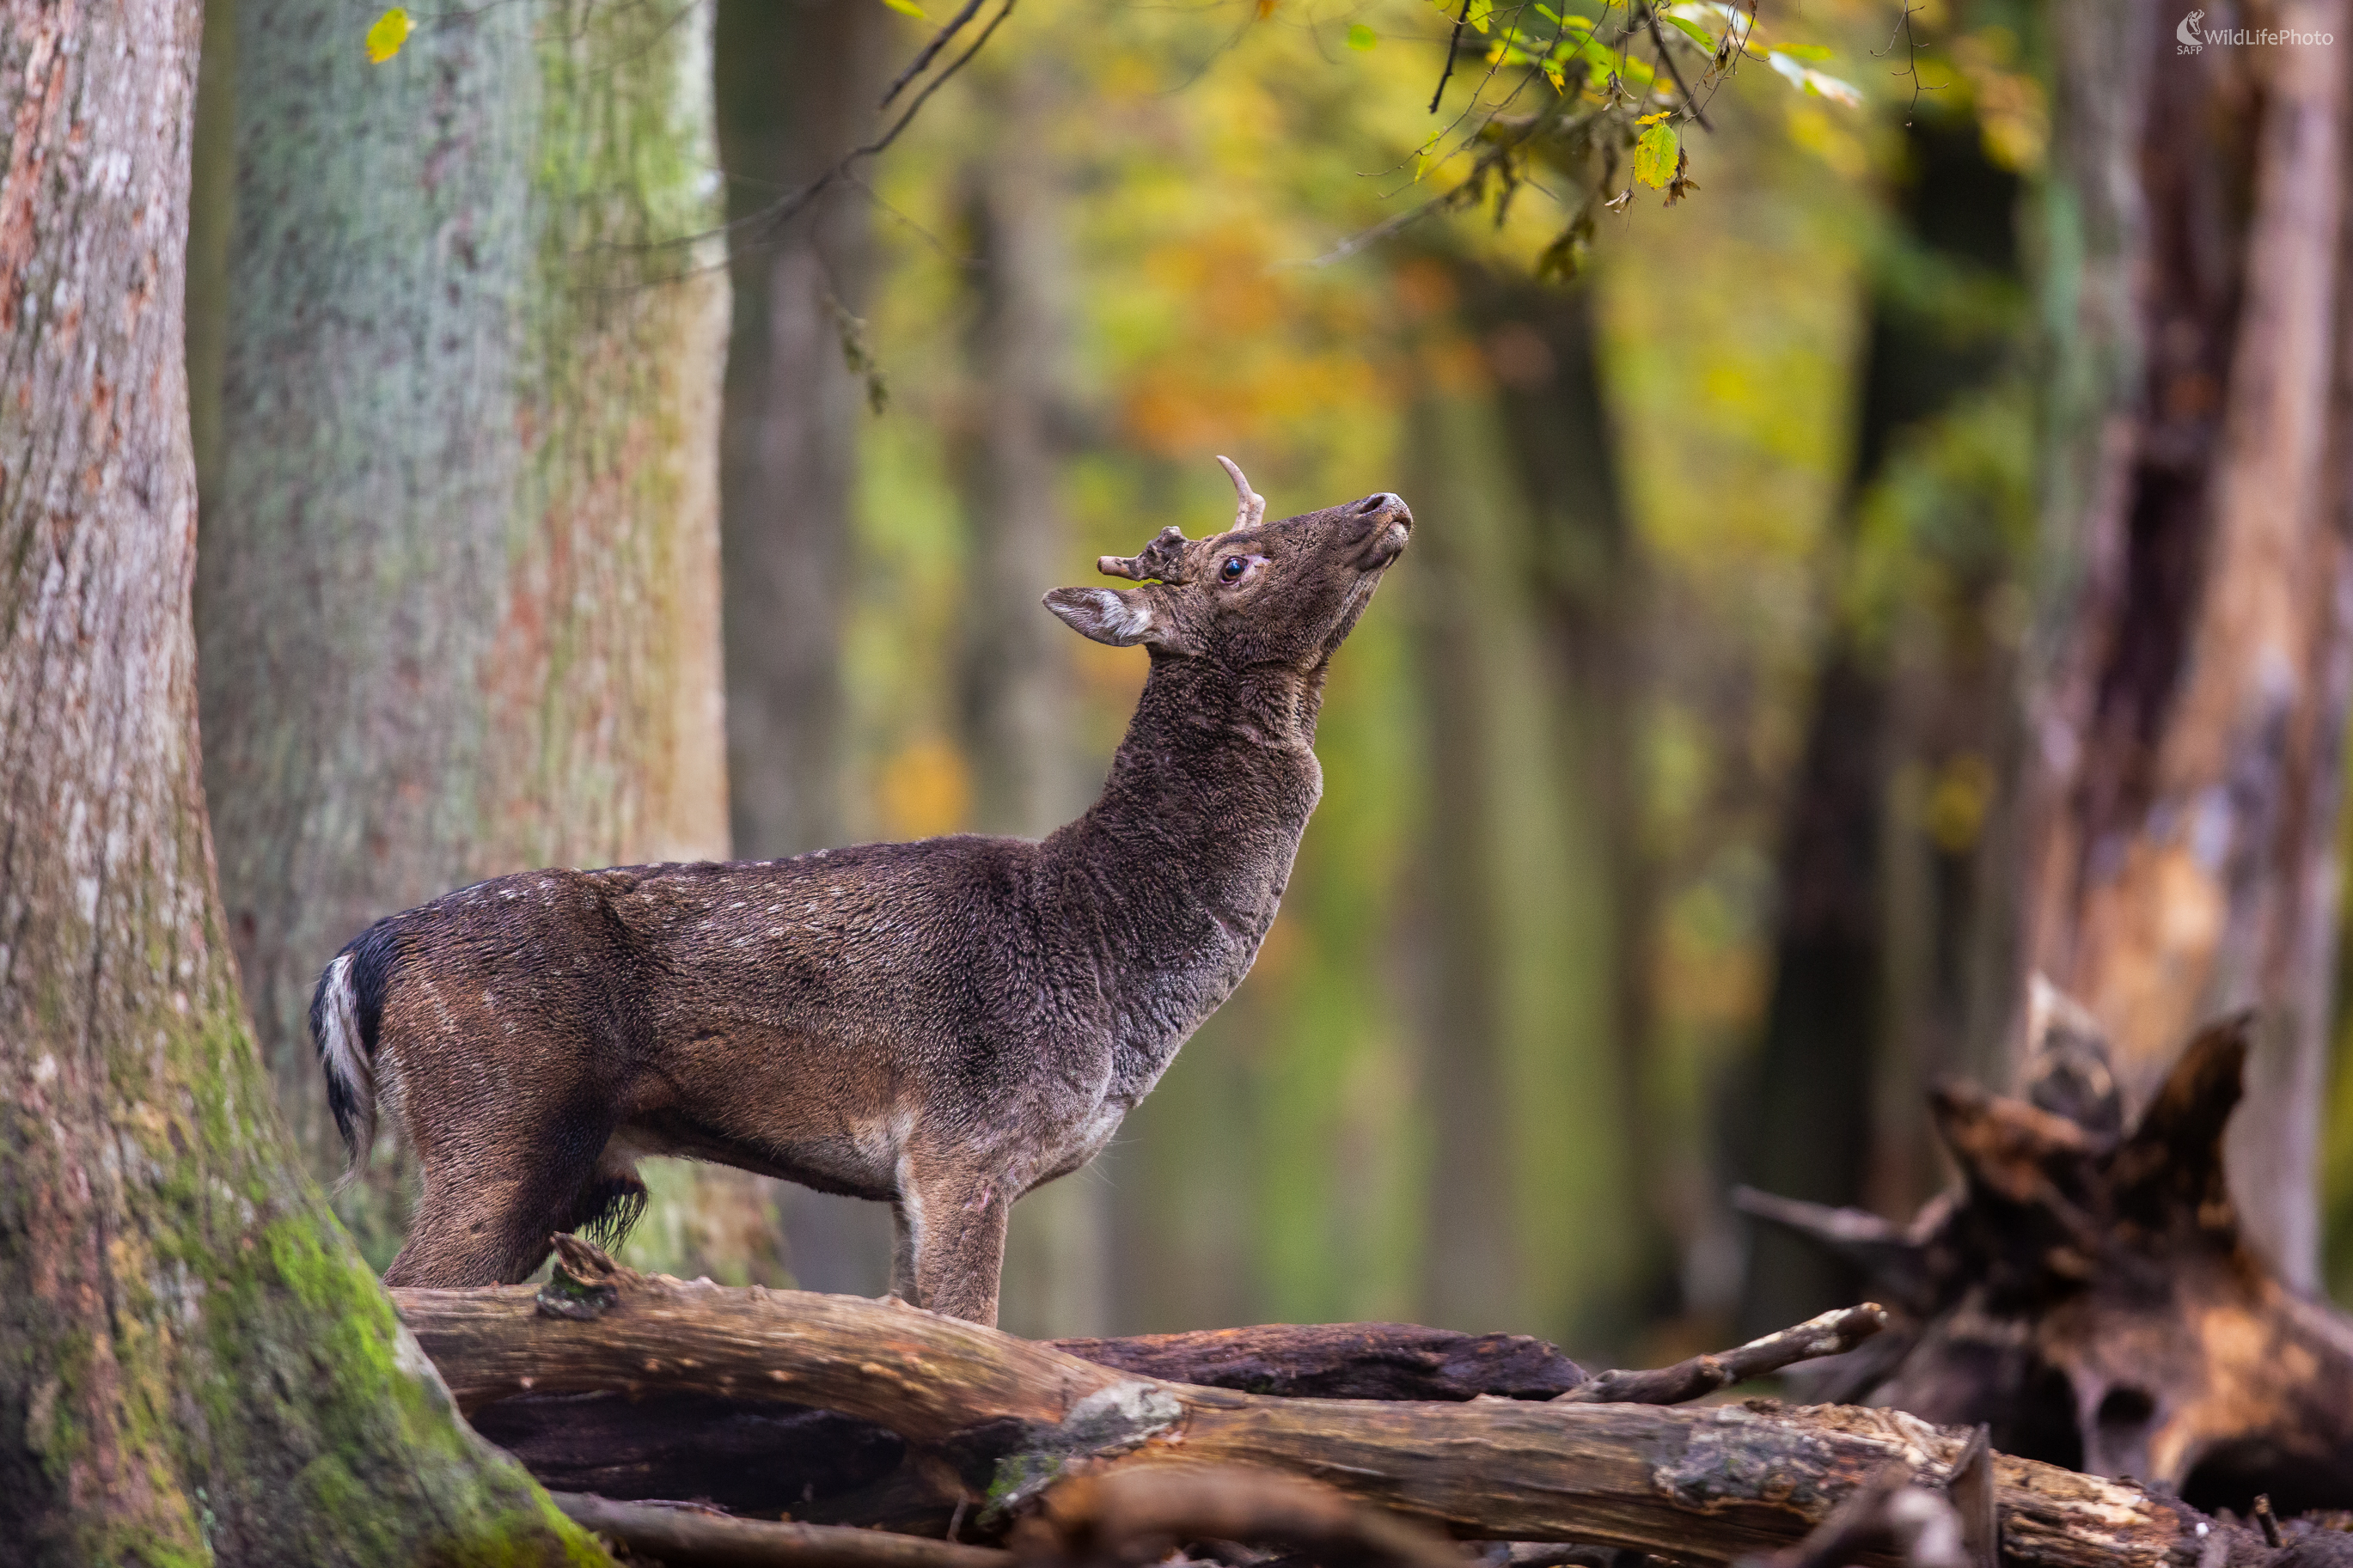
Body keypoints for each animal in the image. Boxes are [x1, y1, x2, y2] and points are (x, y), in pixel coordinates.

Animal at [310, 458, 1412, 1325]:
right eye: (1235, 563)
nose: (1383, 502)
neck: (1106, 954)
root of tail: (359, 957)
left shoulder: (915, 1177)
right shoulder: (966, 1142)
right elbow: (980, 1336)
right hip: (496, 1118)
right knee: (406, 1295)